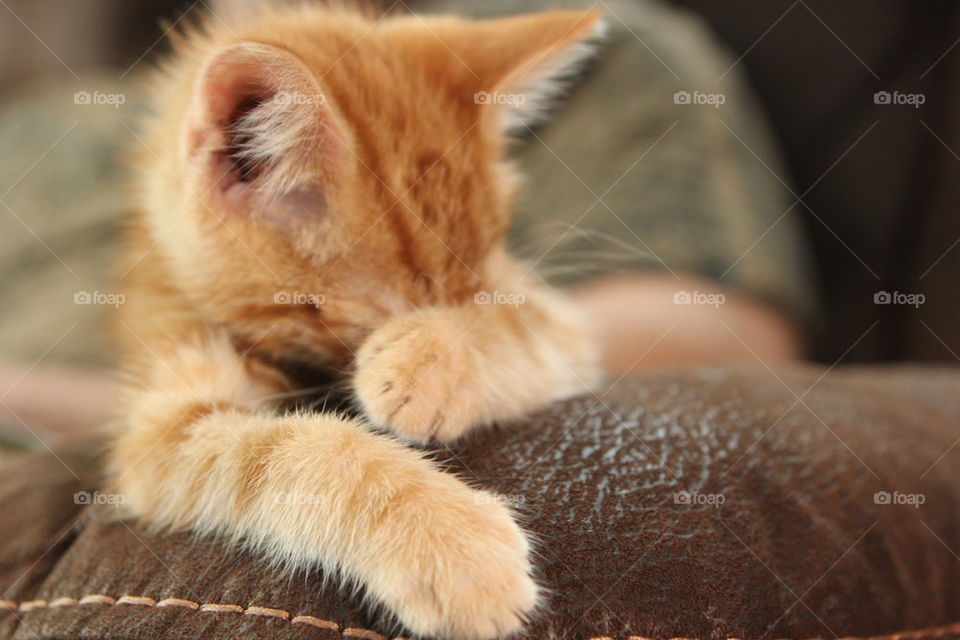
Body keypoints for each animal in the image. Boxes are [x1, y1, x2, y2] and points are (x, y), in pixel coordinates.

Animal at [110, 3, 600, 636]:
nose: (420, 341)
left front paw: (430, 360)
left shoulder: (558, 320)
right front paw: (449, 543)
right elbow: (286, 453)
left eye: (471, 297)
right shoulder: (160, 425)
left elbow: (527, 331)